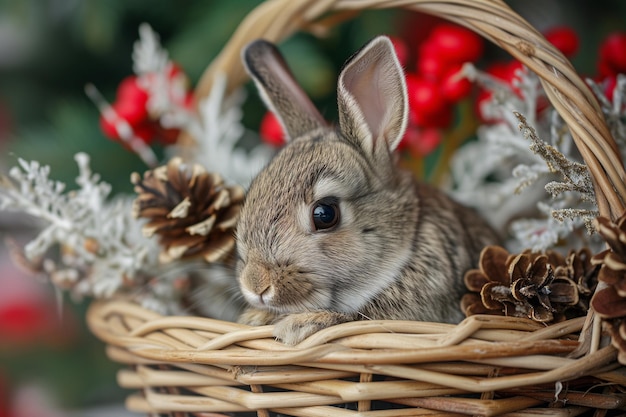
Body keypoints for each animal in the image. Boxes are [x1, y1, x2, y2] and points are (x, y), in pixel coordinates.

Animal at [234, 35, 498, 342]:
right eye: (251, 195)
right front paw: (255, 317)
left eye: (325, 214)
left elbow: (352, 318)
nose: (255, 284)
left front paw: (299, 324)